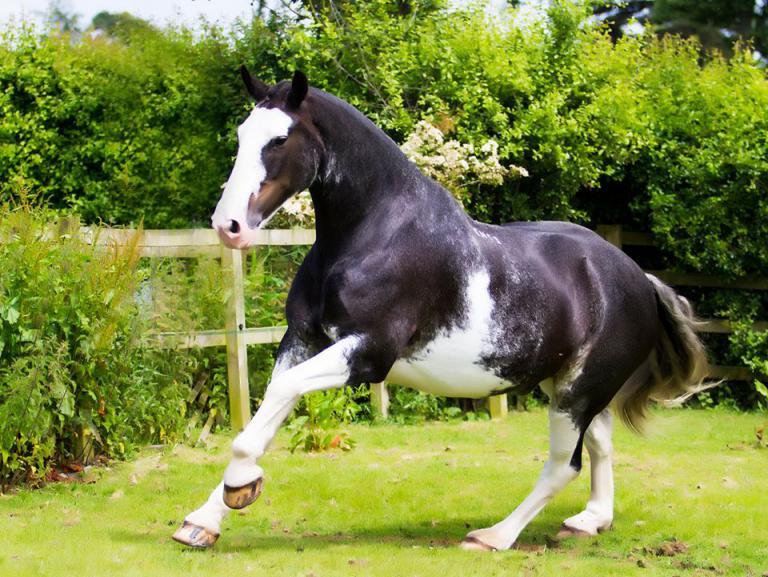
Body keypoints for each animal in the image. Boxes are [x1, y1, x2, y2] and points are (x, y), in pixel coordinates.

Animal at [172, 68, 709, 551]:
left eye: (280, 138)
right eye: (242, 134)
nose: (229, 226)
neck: (375, 235)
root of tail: (639, 278)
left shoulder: (368, 354)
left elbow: (271, 407)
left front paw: (240, 486)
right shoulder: (303, 339)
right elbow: (263, 418)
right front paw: (203, 521)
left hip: (577, 393)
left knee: (564, 464)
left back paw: (494, 537)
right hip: (569, 384)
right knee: (599, 446)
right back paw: (589, 522)